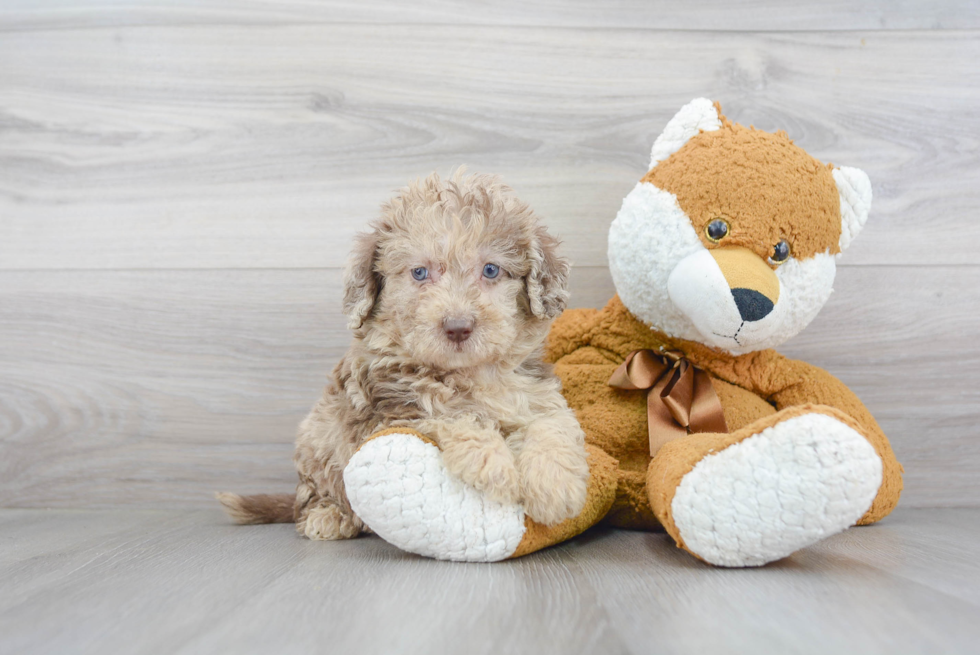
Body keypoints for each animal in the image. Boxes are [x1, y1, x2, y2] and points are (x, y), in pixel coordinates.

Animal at [220, 172, 588, 540]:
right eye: (420, 273)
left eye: (491, 270)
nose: (458, 327)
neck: (470, 373)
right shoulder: (394, 409)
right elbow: (456, 415)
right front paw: (495, 466)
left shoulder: (537, 393)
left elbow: (552, 424)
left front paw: (555, 487)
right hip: (316, 443)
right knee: (310, 496)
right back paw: (328, 515)